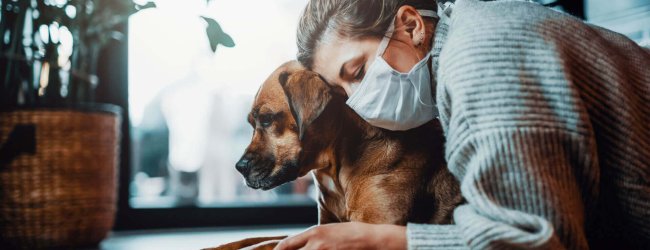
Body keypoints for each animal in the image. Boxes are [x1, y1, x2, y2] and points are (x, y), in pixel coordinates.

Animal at [208, 61, 460, 250]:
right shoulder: (325, 224)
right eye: (251, 124)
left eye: (267, 119)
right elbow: (261, 238)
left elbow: (273, 243)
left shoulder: (373, 228)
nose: (239, 167)